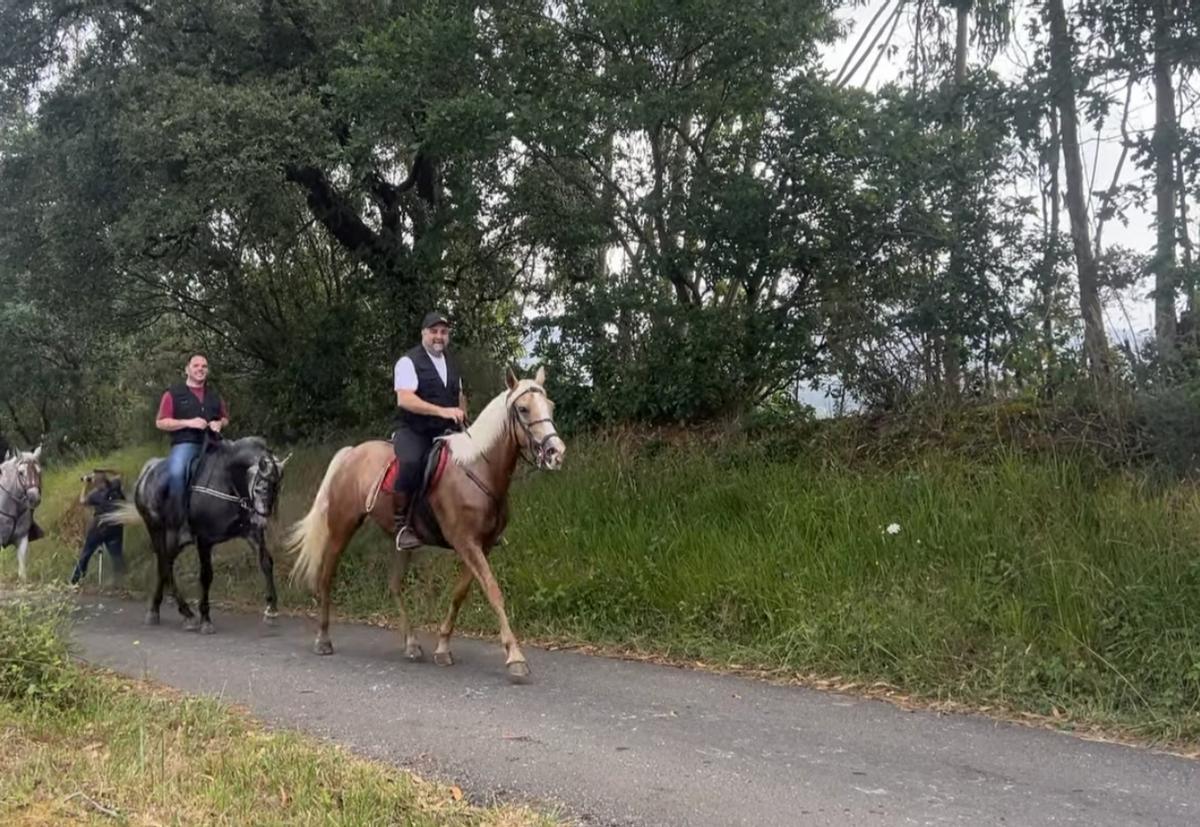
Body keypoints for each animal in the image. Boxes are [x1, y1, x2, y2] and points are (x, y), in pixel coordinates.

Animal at [106, 436, 290, 633]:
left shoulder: (251, 533)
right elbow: (206, 575)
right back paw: (183, 613)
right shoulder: (204, 540)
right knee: (164, 566)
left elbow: (266, 563)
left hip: (175, 541)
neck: (228, 481)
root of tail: (147, 472)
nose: (262, 520)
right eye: (260, 488)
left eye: (277, 487)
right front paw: (205, 619)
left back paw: (159, 609)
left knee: (164, 567)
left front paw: (271, 611)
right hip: (157, 530)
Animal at [286, 367, 566, 682]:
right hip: (341, 527)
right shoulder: (467, 543)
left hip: (401, 542)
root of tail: (351, 453)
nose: (556, 452)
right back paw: (323, 639)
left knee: (394, 585)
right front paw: (515, 657)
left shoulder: (480, 546)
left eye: (550, 406)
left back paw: (411, 644)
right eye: (523, 409)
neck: (478, 468)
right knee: (327, 576)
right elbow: (494, 592)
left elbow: (459, 594)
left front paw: (443, 648)